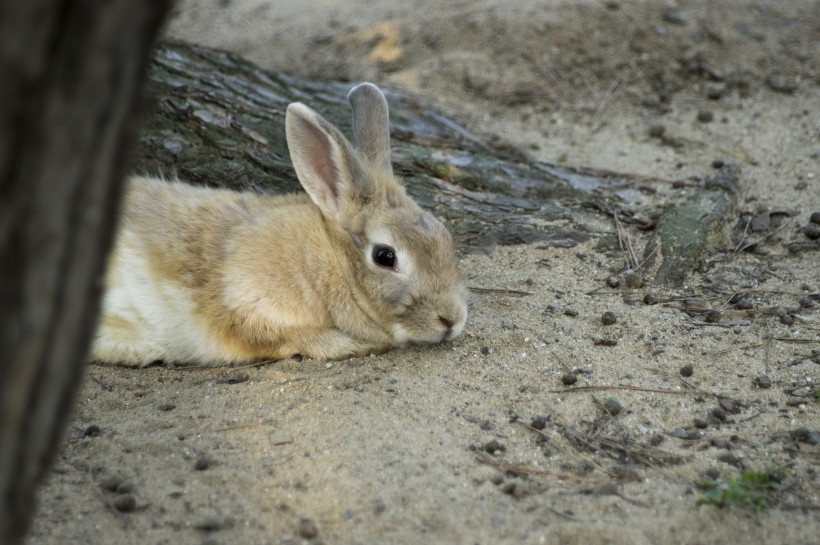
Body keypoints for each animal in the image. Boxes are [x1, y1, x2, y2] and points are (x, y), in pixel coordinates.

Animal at [91, 83, 468, 366]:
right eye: (385, 256)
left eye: (445, 236)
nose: (452, 320)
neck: (329, 259)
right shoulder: (246, 303)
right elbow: (285, 336)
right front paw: (354, 345)